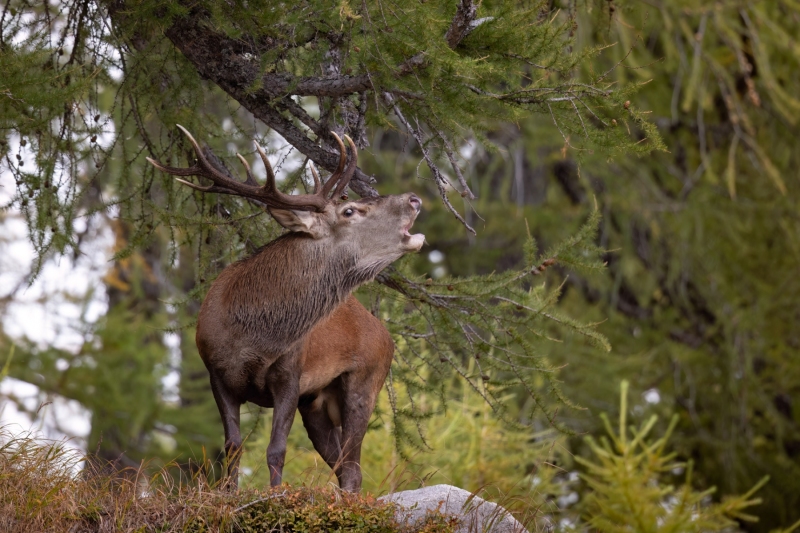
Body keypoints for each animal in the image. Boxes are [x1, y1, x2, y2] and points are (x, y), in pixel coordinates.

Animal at [147, 126, 423, 492]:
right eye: (349, 210)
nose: (414, 199)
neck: (252, 338)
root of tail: (386, 334)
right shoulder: (215, 372)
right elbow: (232, 445)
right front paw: (228, 492)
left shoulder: (291, 376)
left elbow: (276, 448)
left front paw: (274, 493)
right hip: (317, 404)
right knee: (342, 465)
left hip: (366, 381)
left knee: (352, 469)